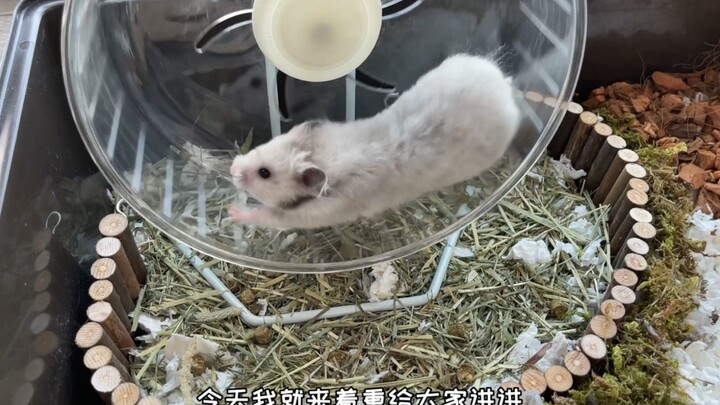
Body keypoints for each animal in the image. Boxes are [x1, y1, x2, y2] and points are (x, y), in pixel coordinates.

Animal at [228, 53, 521, 230]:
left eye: (264, 173)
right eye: (265, 145)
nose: (232, 167)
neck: (328, 157)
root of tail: (505, 88)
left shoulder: (320, 211)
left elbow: (270, 215)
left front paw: (233, 212)